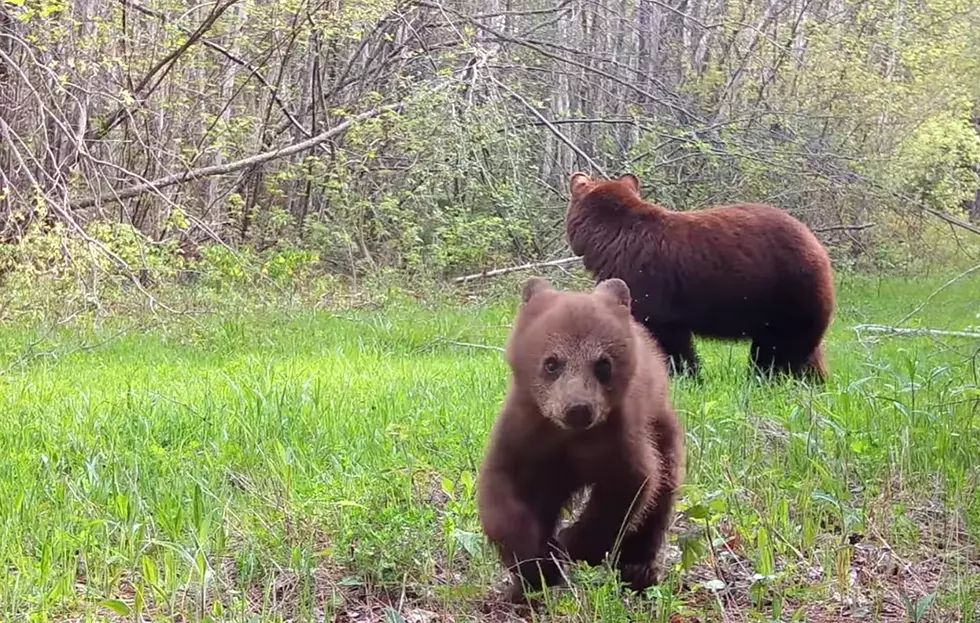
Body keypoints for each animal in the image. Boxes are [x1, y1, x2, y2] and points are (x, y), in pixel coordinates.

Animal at [568, 173, 836, 382]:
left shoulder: (645, 281)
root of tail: (819, 248)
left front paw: (682, 374)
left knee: (779, 348)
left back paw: (767, 378)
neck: (608, 237)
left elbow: (663, 333)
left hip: (788, 294)